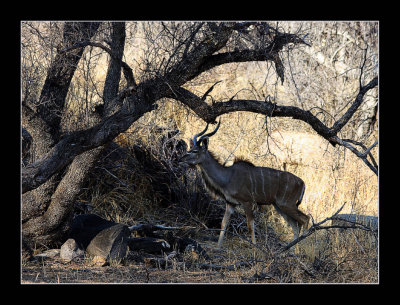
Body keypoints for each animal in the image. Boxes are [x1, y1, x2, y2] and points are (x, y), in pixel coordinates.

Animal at [180, 121, 310, 247]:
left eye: (195, 151)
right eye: (190, 148)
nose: (181, 159)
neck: (228, 176)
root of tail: (302, 183)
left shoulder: (247, 202)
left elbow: (250, 225)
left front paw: (254, 247)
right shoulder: (230, 203)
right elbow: (223, 223)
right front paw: (218, 247)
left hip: (287, 204)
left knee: (305, 219)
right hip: (279, 206)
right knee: (295, 225)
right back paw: (291, 250)